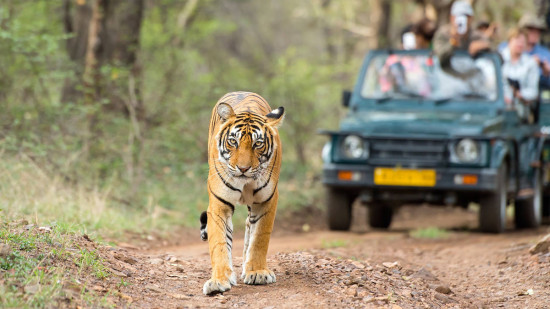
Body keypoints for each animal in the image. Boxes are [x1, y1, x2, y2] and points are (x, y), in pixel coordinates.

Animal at [199, 91, 284, 294]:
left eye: (258, 144)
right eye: (233, 141)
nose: (243, 169)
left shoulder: (266, 201)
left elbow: (259, 237)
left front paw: (257, 272)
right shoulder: (219, 204)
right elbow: (219, 242)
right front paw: (219, 280)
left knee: (249, 227)